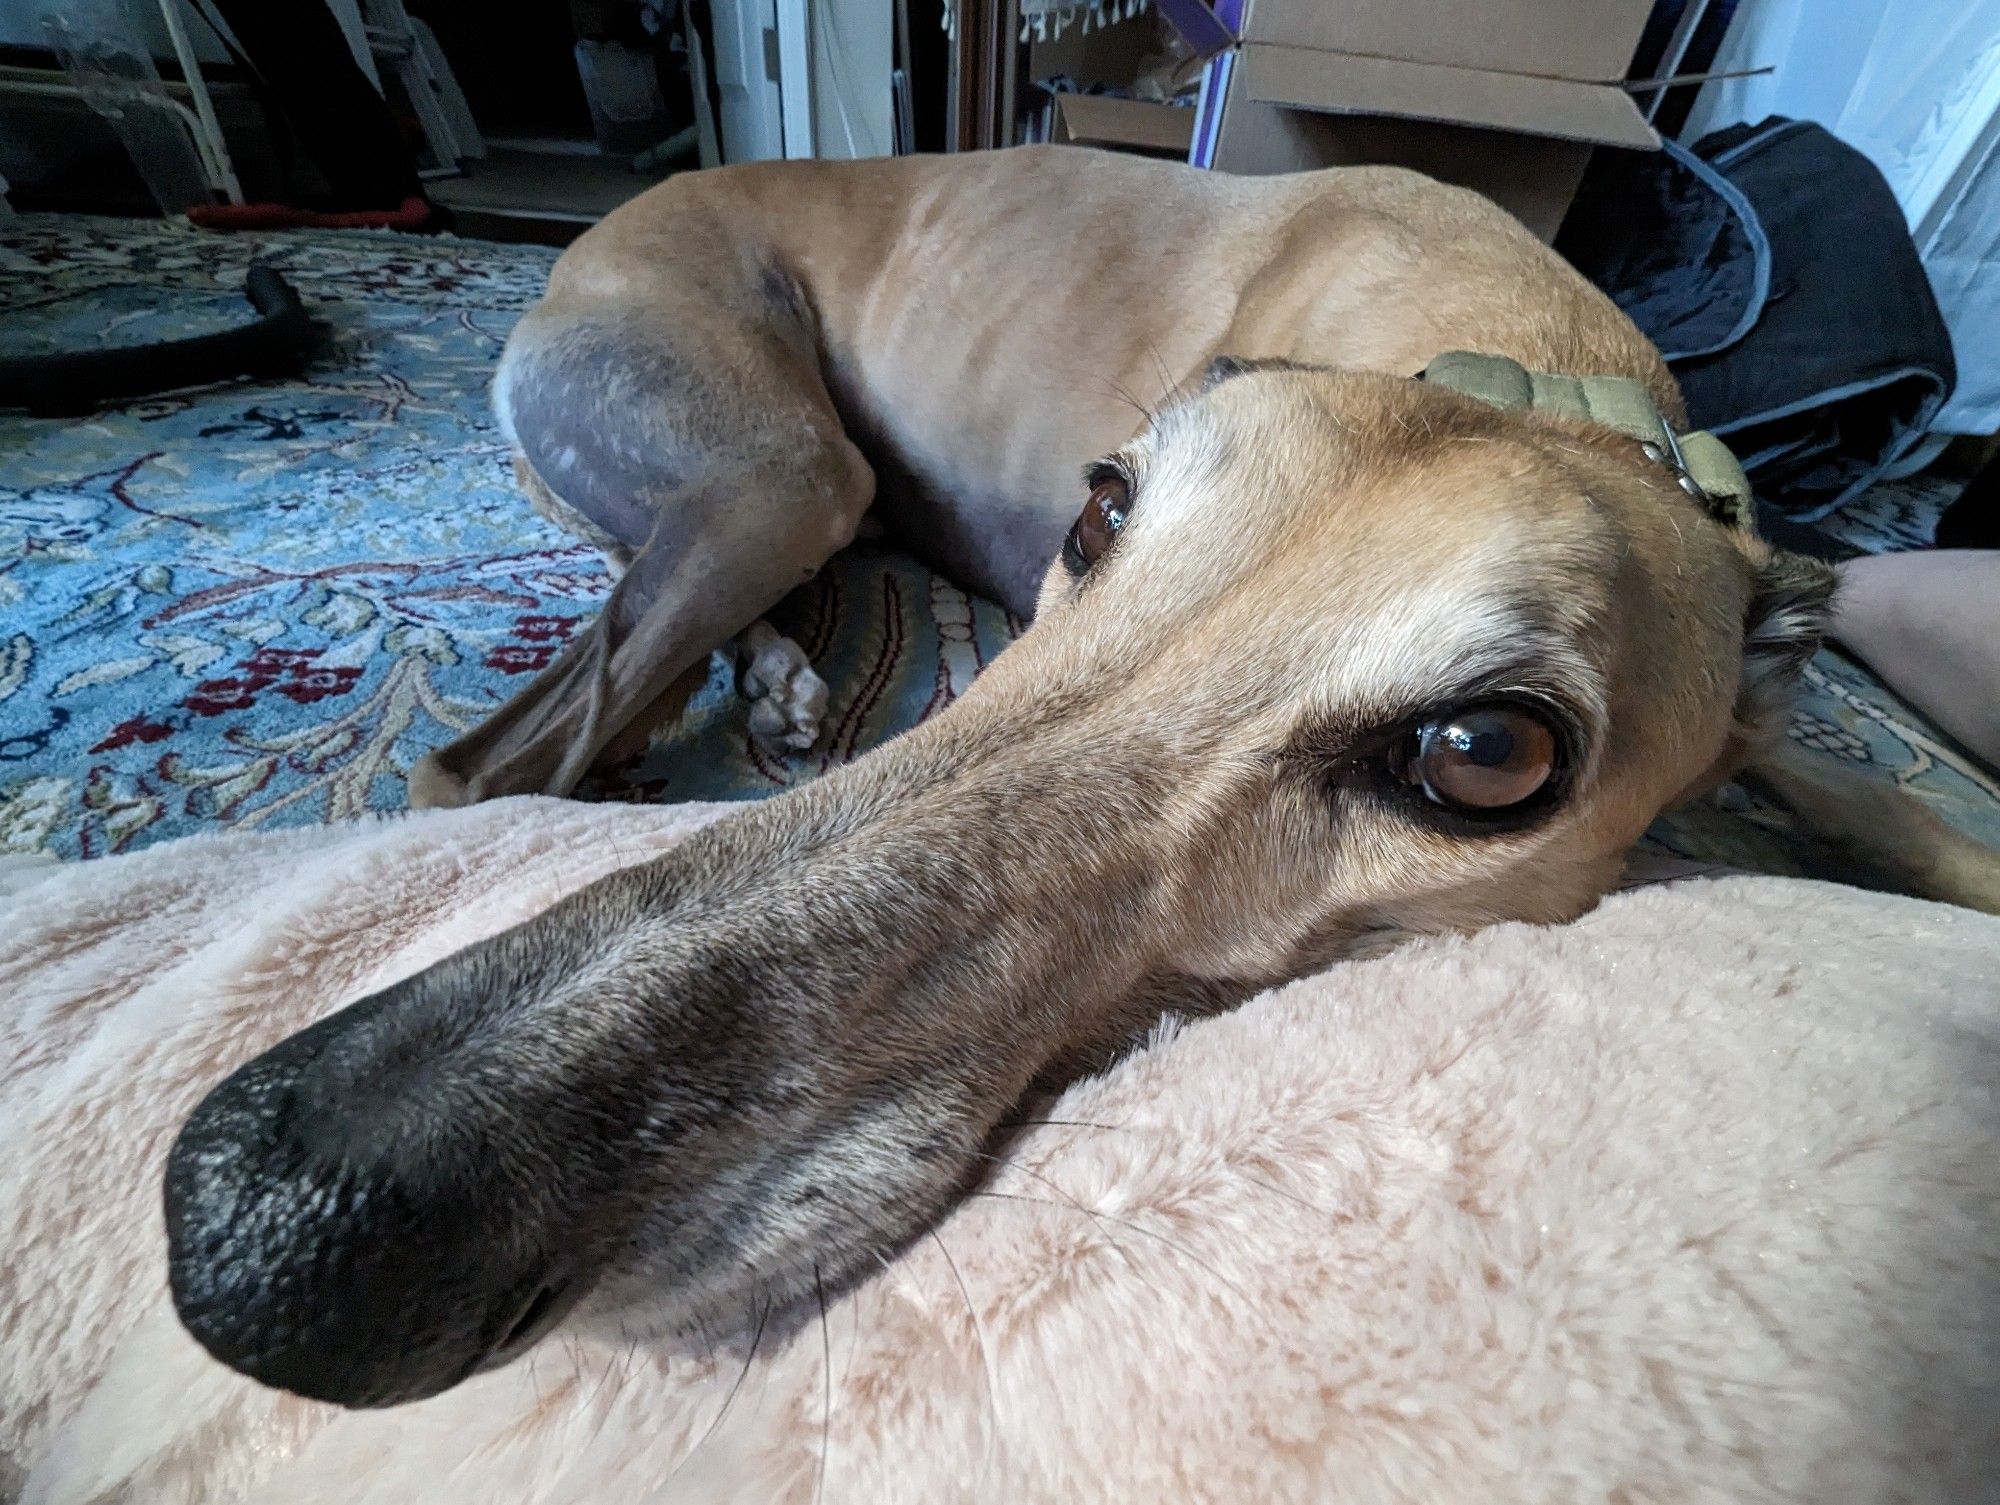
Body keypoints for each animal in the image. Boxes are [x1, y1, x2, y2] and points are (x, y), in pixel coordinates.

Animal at [160, 144, 1856, 1408]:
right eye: (1102, 508)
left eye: (1487, 758)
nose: (257, 1227)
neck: (1540, 371)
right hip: (777, 464)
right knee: (482, 763)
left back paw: (781, 678)